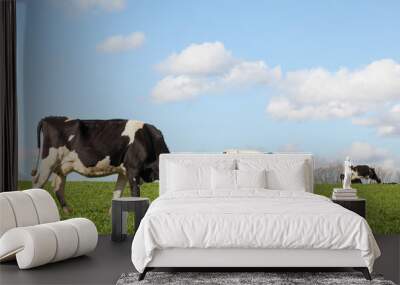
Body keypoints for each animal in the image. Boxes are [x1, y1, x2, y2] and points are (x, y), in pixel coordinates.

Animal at [31, 116, 169, 212]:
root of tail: (48, 118)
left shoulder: (124, 171)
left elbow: (117, 193)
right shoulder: (133, 168)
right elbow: (135, 194)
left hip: (62, 166)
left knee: (57, 186)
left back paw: (67, 212)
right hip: (48, 161)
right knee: (38, 183)